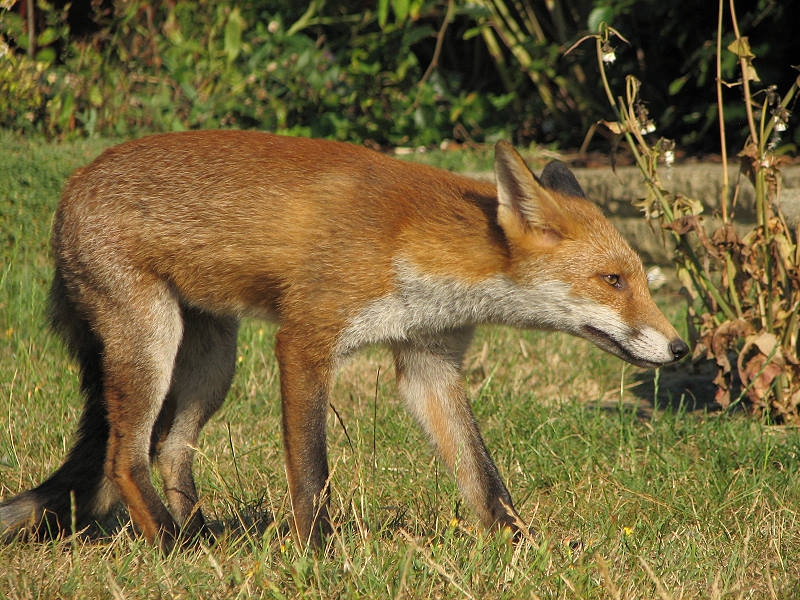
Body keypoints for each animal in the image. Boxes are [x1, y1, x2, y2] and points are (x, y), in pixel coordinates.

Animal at [0, 130, 688, 548]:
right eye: (613, 280)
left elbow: (483, 476)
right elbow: (312, 472)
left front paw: (521, 548)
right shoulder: (307, 339)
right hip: (152, 344)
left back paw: (201, 541)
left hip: (213, 363)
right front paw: (317, 556)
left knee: (169, 449)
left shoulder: (430, 362)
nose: (680, 349)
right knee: (123, 457)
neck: (419, 249)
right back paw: (174, 547)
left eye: (636, 276)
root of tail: (73, 182)